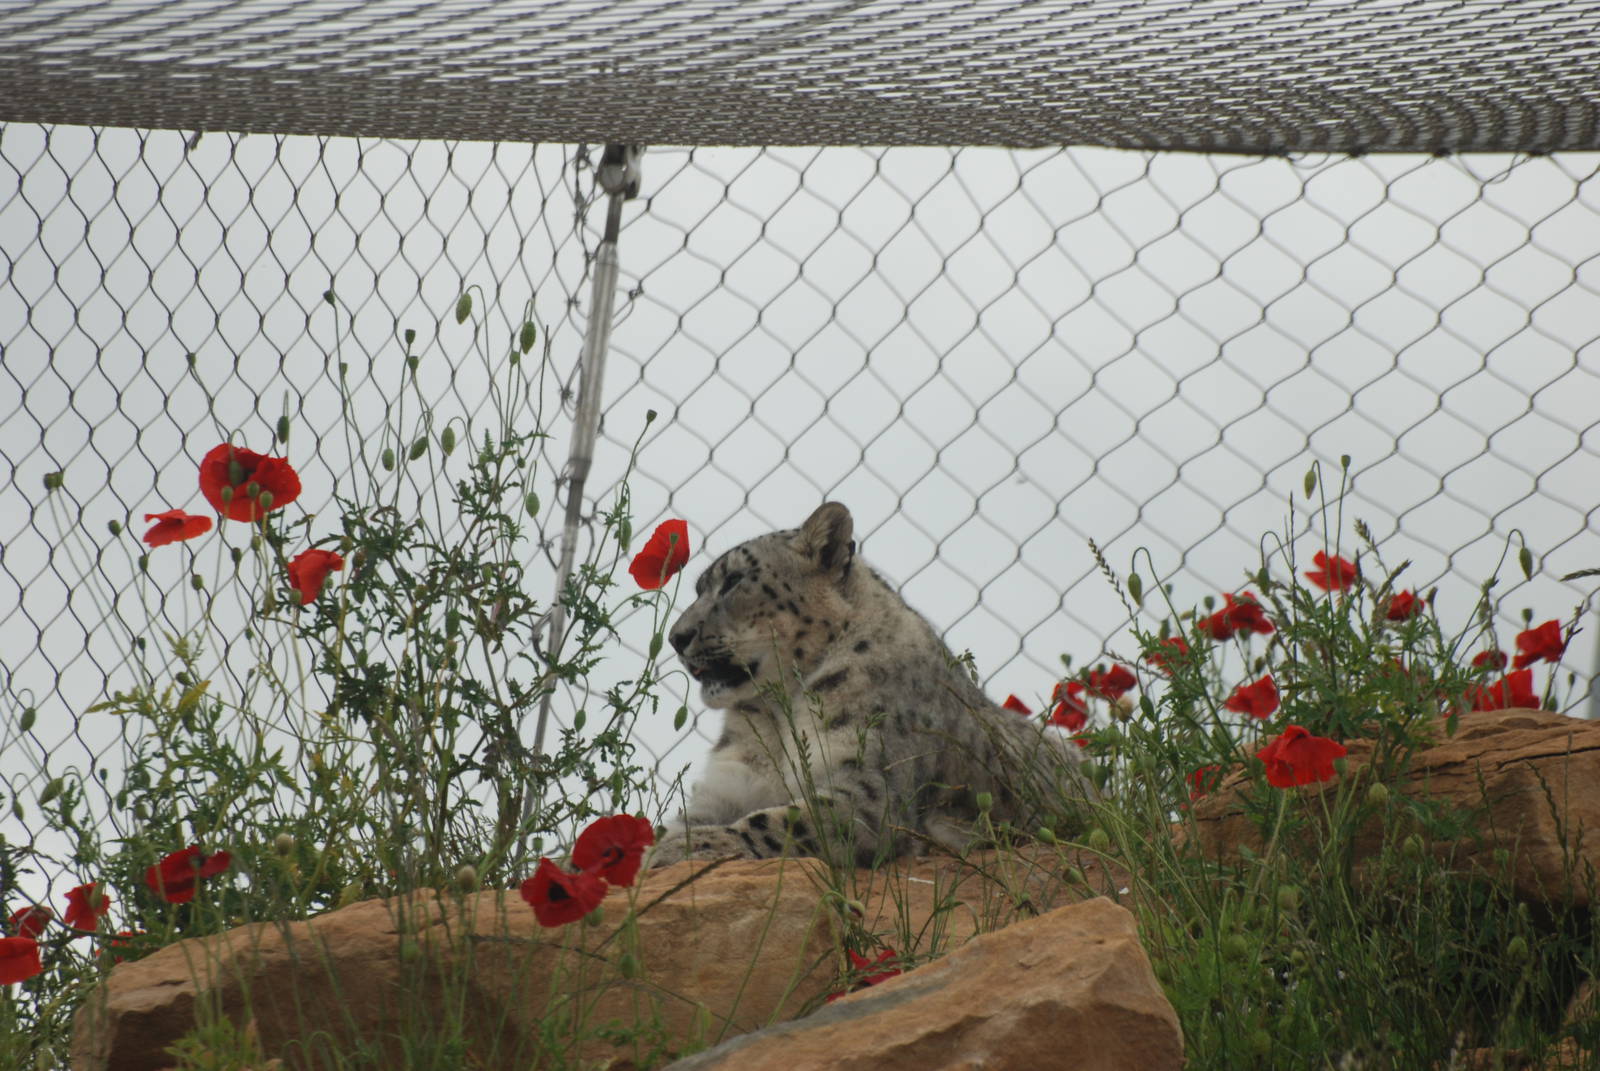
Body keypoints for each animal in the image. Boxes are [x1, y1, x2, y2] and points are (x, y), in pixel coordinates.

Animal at [651, 501, 1094, 869]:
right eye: (699, 589)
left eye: (734, 580)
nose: (676, 637)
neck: (779, 714)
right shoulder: (729, 786)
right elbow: (687, 820)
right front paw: (665, 842)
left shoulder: (869, 786)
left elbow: (777, 820)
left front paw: (682, 847)